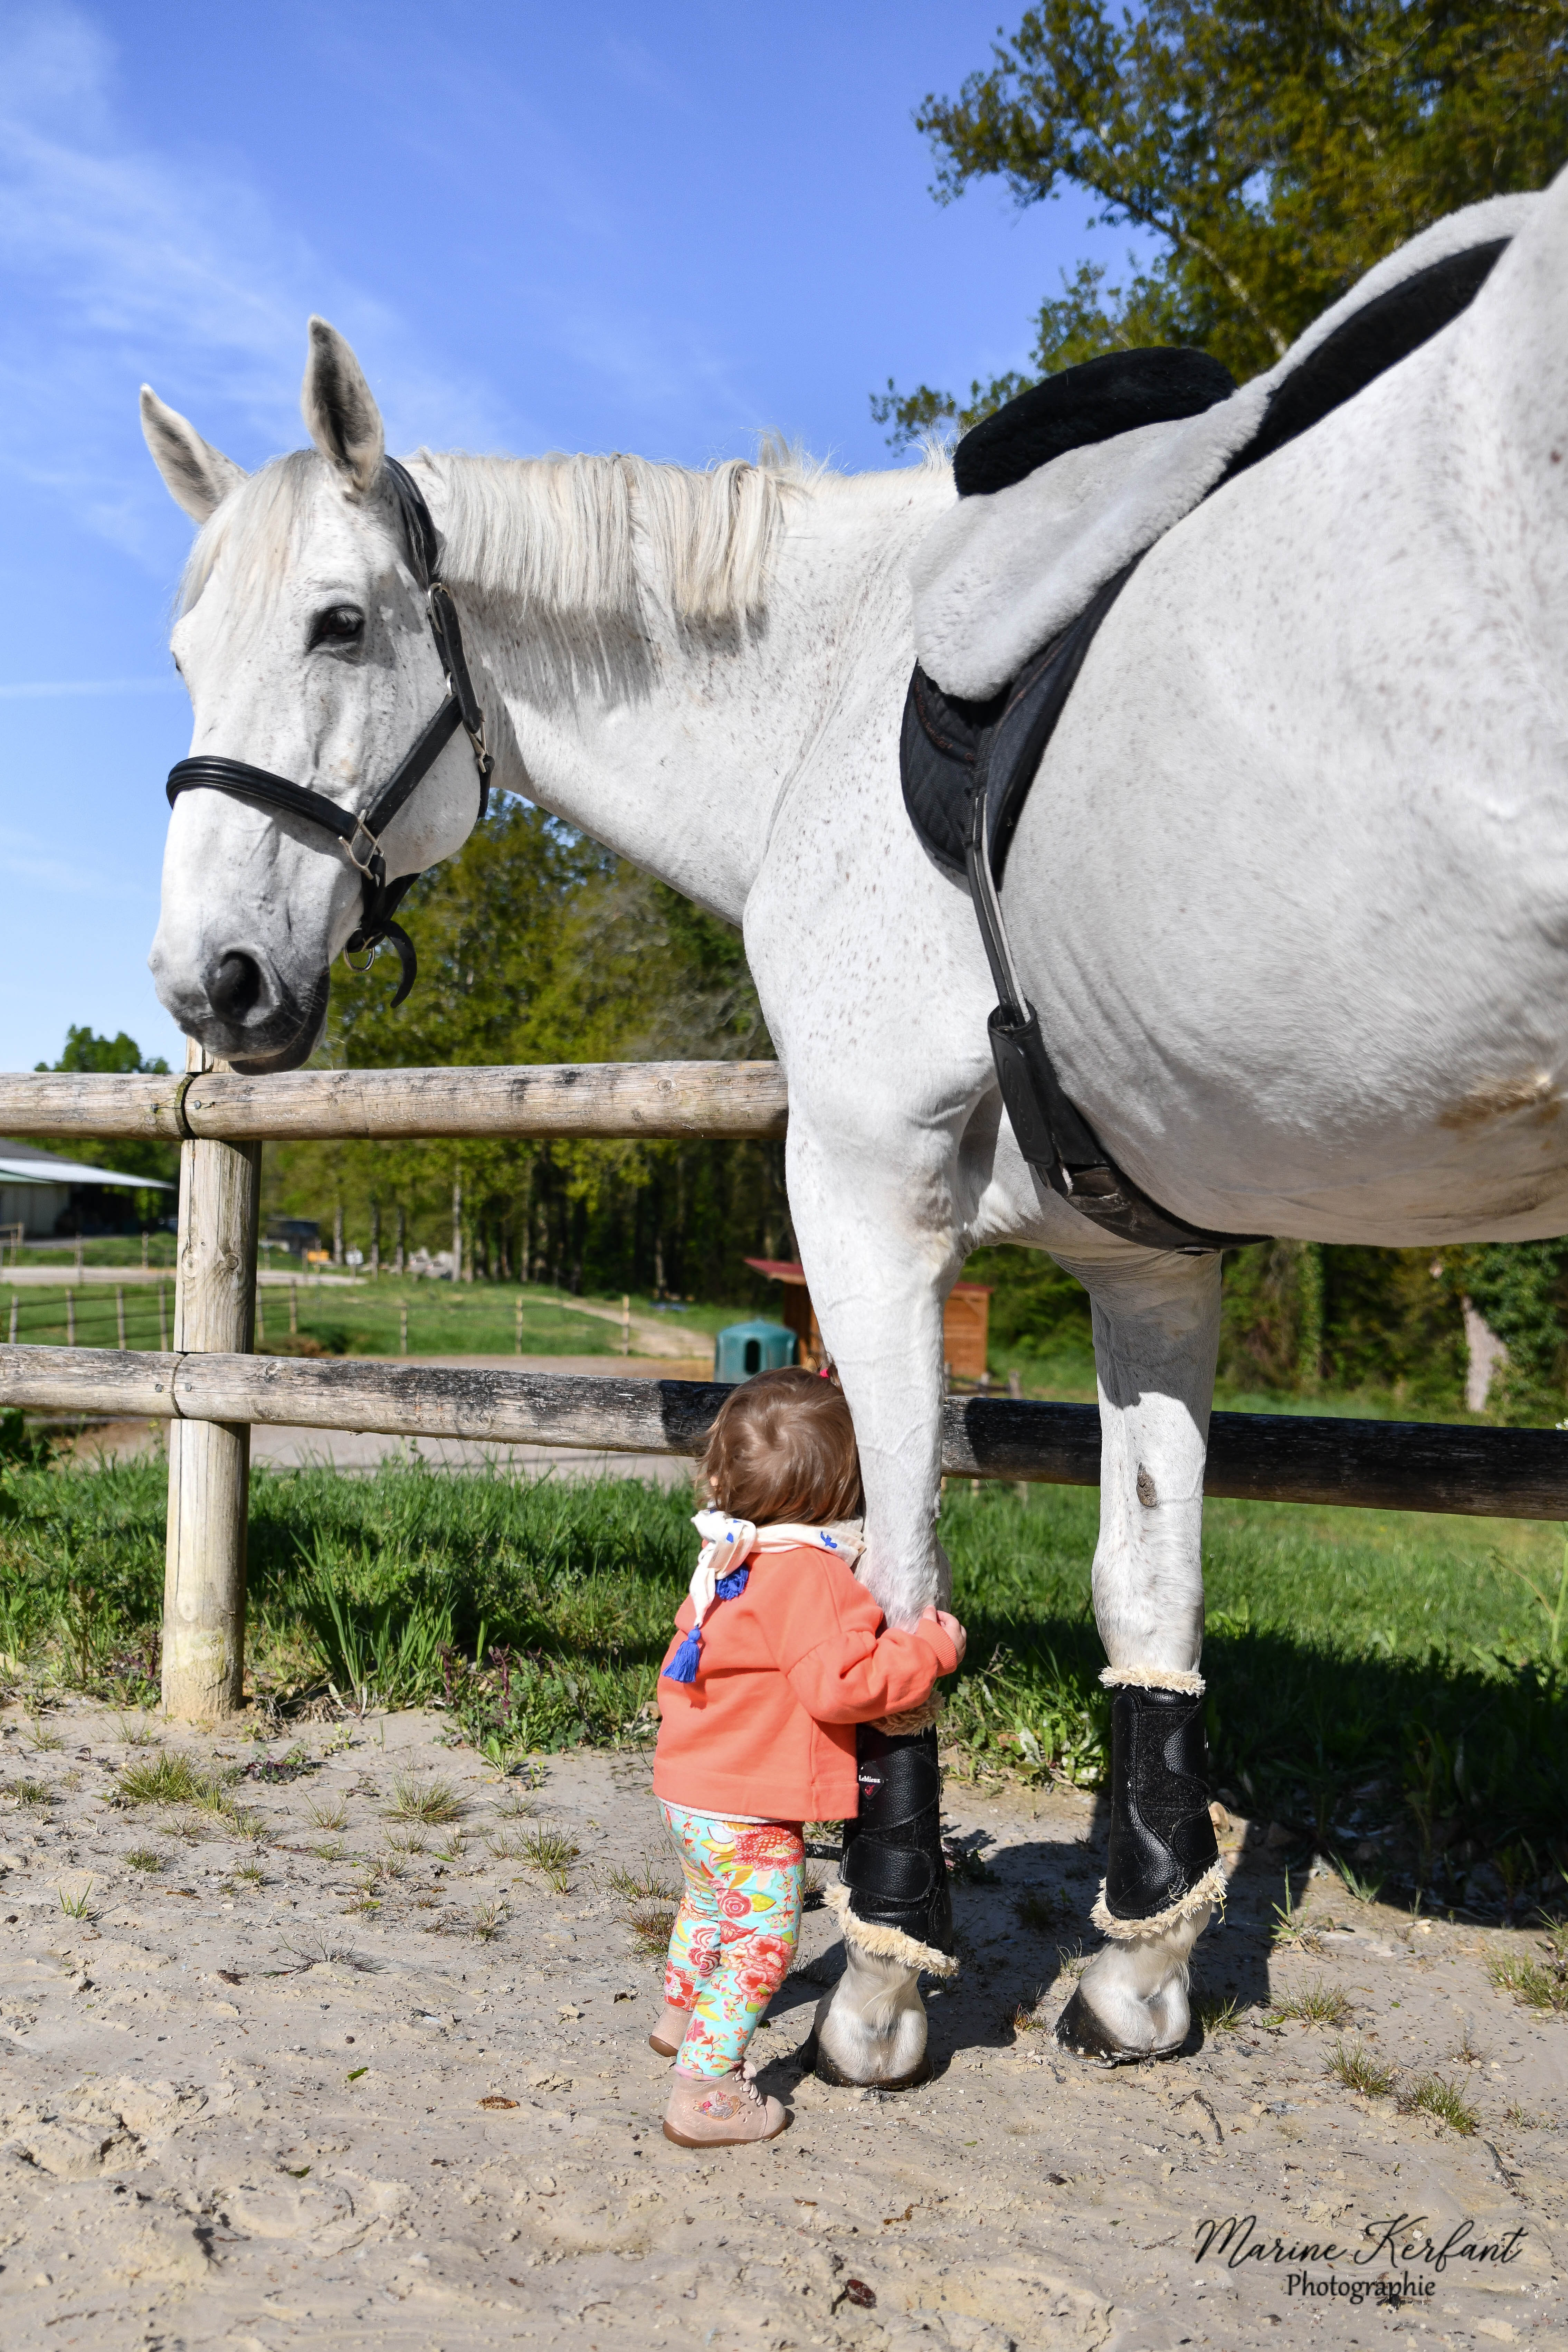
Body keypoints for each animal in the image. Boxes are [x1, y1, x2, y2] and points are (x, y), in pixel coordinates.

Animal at [140, 162, 1568, 2086]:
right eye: (182, 653)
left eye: (339, 625)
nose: (207, 980)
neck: (819, 694)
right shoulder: (1147, 1257)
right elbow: (1147, 1592)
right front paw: (1139, 1956)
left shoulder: (864, 1183)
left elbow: (891, 1578)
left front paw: (886, 1966)